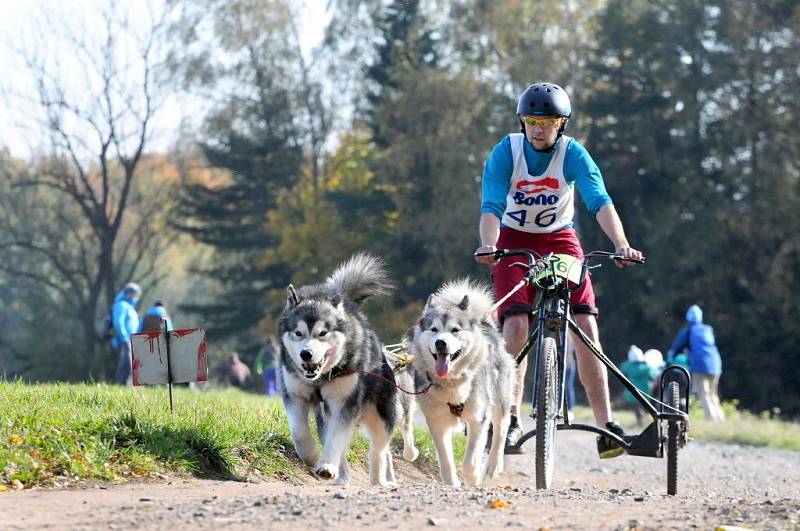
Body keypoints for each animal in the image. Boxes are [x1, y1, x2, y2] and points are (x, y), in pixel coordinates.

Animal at [278, 255, 416, 486]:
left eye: (322, 333)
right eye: (298, 333)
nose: (306, 354)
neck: (320, 379)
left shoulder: (344, 402)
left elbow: (337, 439)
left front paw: (325, 465)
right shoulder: (296, 396)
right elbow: (300, 434)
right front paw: (314, 458)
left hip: (382, 414)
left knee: (379, 450)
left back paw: (377, 479)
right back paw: (341, 475)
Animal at [410, 280, 516, 488]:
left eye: (455, 330)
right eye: (434, 329)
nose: (441, 343)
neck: (452, 382)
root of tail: (485, 325)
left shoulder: (478, 418)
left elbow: (471, 460)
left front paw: (473, 477)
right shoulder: (437, 421)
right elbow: (445, 460)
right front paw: (452, 483)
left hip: (499, 399)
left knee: (501, 429)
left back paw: (494, 465)